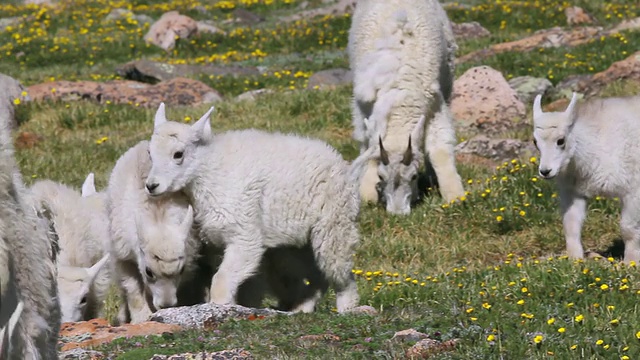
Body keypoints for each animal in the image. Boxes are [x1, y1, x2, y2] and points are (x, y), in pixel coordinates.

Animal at [107, 139, 202, 324]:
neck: (158, 216)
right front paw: (141, 318)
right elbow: (133, 290)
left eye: (181, 269)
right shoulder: (123, 256)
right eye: (148, 272)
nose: (166, 305)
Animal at [145, 103, 376, 312]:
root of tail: (348, 170)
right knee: (312, 274)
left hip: (334, 223)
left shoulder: (243, 230)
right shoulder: (217, 242)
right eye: (150, 153)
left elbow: (223, 276)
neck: (208, 172)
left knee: (339, 269)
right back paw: (300, 307)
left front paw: (220, 306)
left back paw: (347, 308)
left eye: (178, 154)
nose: (151, 186)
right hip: (294, 243)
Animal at [344, 0, 464, 214]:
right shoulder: (364, 107)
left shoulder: (435, 103)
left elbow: (439, 149)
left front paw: (454, 195)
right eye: (382, 177)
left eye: (414, 176)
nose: (398, 213)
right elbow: (368, 146)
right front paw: (367, 193)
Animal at [532, 93, 640, 262]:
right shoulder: (574, 192)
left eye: (561, 140)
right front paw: (575, 259)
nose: (545, 171)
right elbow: (571, 224)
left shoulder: (633, 190)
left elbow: (628, 228)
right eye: (535, 141)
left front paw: (631, 262)